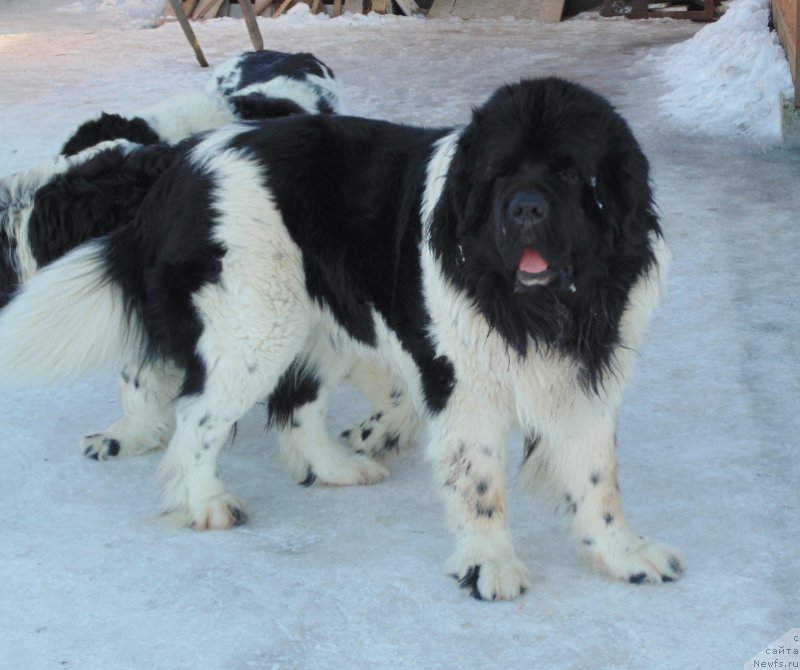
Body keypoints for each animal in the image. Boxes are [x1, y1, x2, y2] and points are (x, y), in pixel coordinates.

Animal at [1, 77, 688, 600]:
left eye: (572, 175)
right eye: (499, 175)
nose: (524, 208)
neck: (543, 307)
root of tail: (179, 168)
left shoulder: (587, 380)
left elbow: (599, 480)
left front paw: (624, 554)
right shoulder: (462, 386)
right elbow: (480, 484)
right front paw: (487, 565)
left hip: (310, 319)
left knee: (297, 405)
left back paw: (334, 469)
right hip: (257, 322)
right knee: (199, 415)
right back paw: (208, 503)